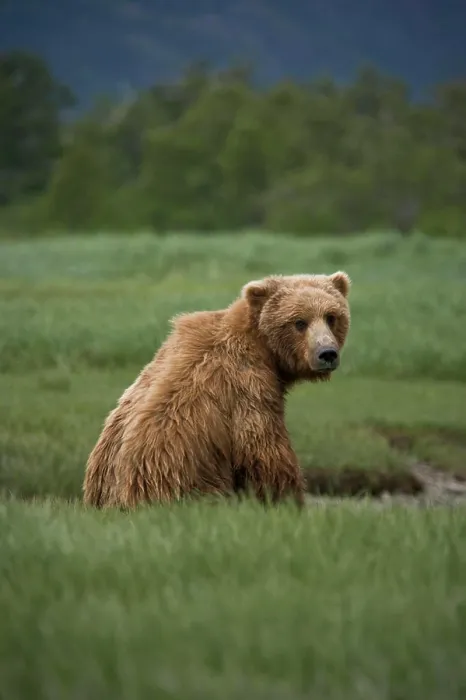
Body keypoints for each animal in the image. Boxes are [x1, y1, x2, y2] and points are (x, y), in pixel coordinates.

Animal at [83, 271, 351, 509]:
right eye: (299, 322)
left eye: (331, 316)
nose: (327, 354)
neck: (263, 349)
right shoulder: (248, 387)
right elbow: (263, 452)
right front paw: (287, 499)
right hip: (176, 479)